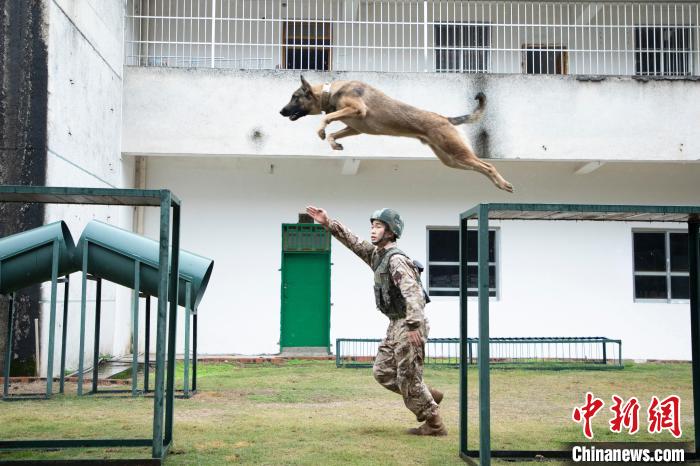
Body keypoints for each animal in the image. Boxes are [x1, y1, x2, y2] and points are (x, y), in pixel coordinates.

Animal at [280, 76, 516, 193]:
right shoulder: (355, 128)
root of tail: (445, 118)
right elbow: (334, 132)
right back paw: (498, 184)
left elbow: (326, 119)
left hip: (457, 152)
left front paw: (321, 130)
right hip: (452, 160)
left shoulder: (357, 110)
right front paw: (333, 143)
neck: (330, 91)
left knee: (488, 165)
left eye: (294, 97)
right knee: (480, 168)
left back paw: (502, 183)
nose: (281, 111)